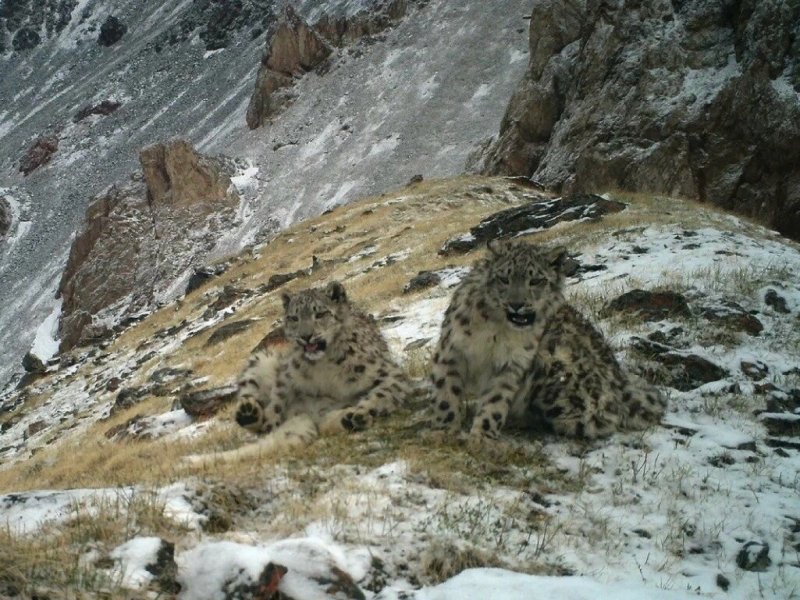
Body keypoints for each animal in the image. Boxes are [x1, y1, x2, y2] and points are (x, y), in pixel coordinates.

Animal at [191, 282, 410, 464]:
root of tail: (308, 416)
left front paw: (360, 412)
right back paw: (249, 413)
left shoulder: (385, 371)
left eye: (320, 314)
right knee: (255, 410)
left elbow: (384, 392)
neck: (325, 367)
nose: (306, 336)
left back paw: (350, 419)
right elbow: (277, 400)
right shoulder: (287, 374)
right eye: (293, 318)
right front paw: (270, 420)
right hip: (262, 359)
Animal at [434, 238, 664, 440]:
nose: (516, 304)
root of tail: (623, 386)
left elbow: (495, 402)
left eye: (536, 280)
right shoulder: (452, 348)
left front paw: (482, 437)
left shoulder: (512, 364)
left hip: (556, 366)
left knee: (596, 421)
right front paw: (445, 430)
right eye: (503, 278)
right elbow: (446, 392)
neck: (497, 331)